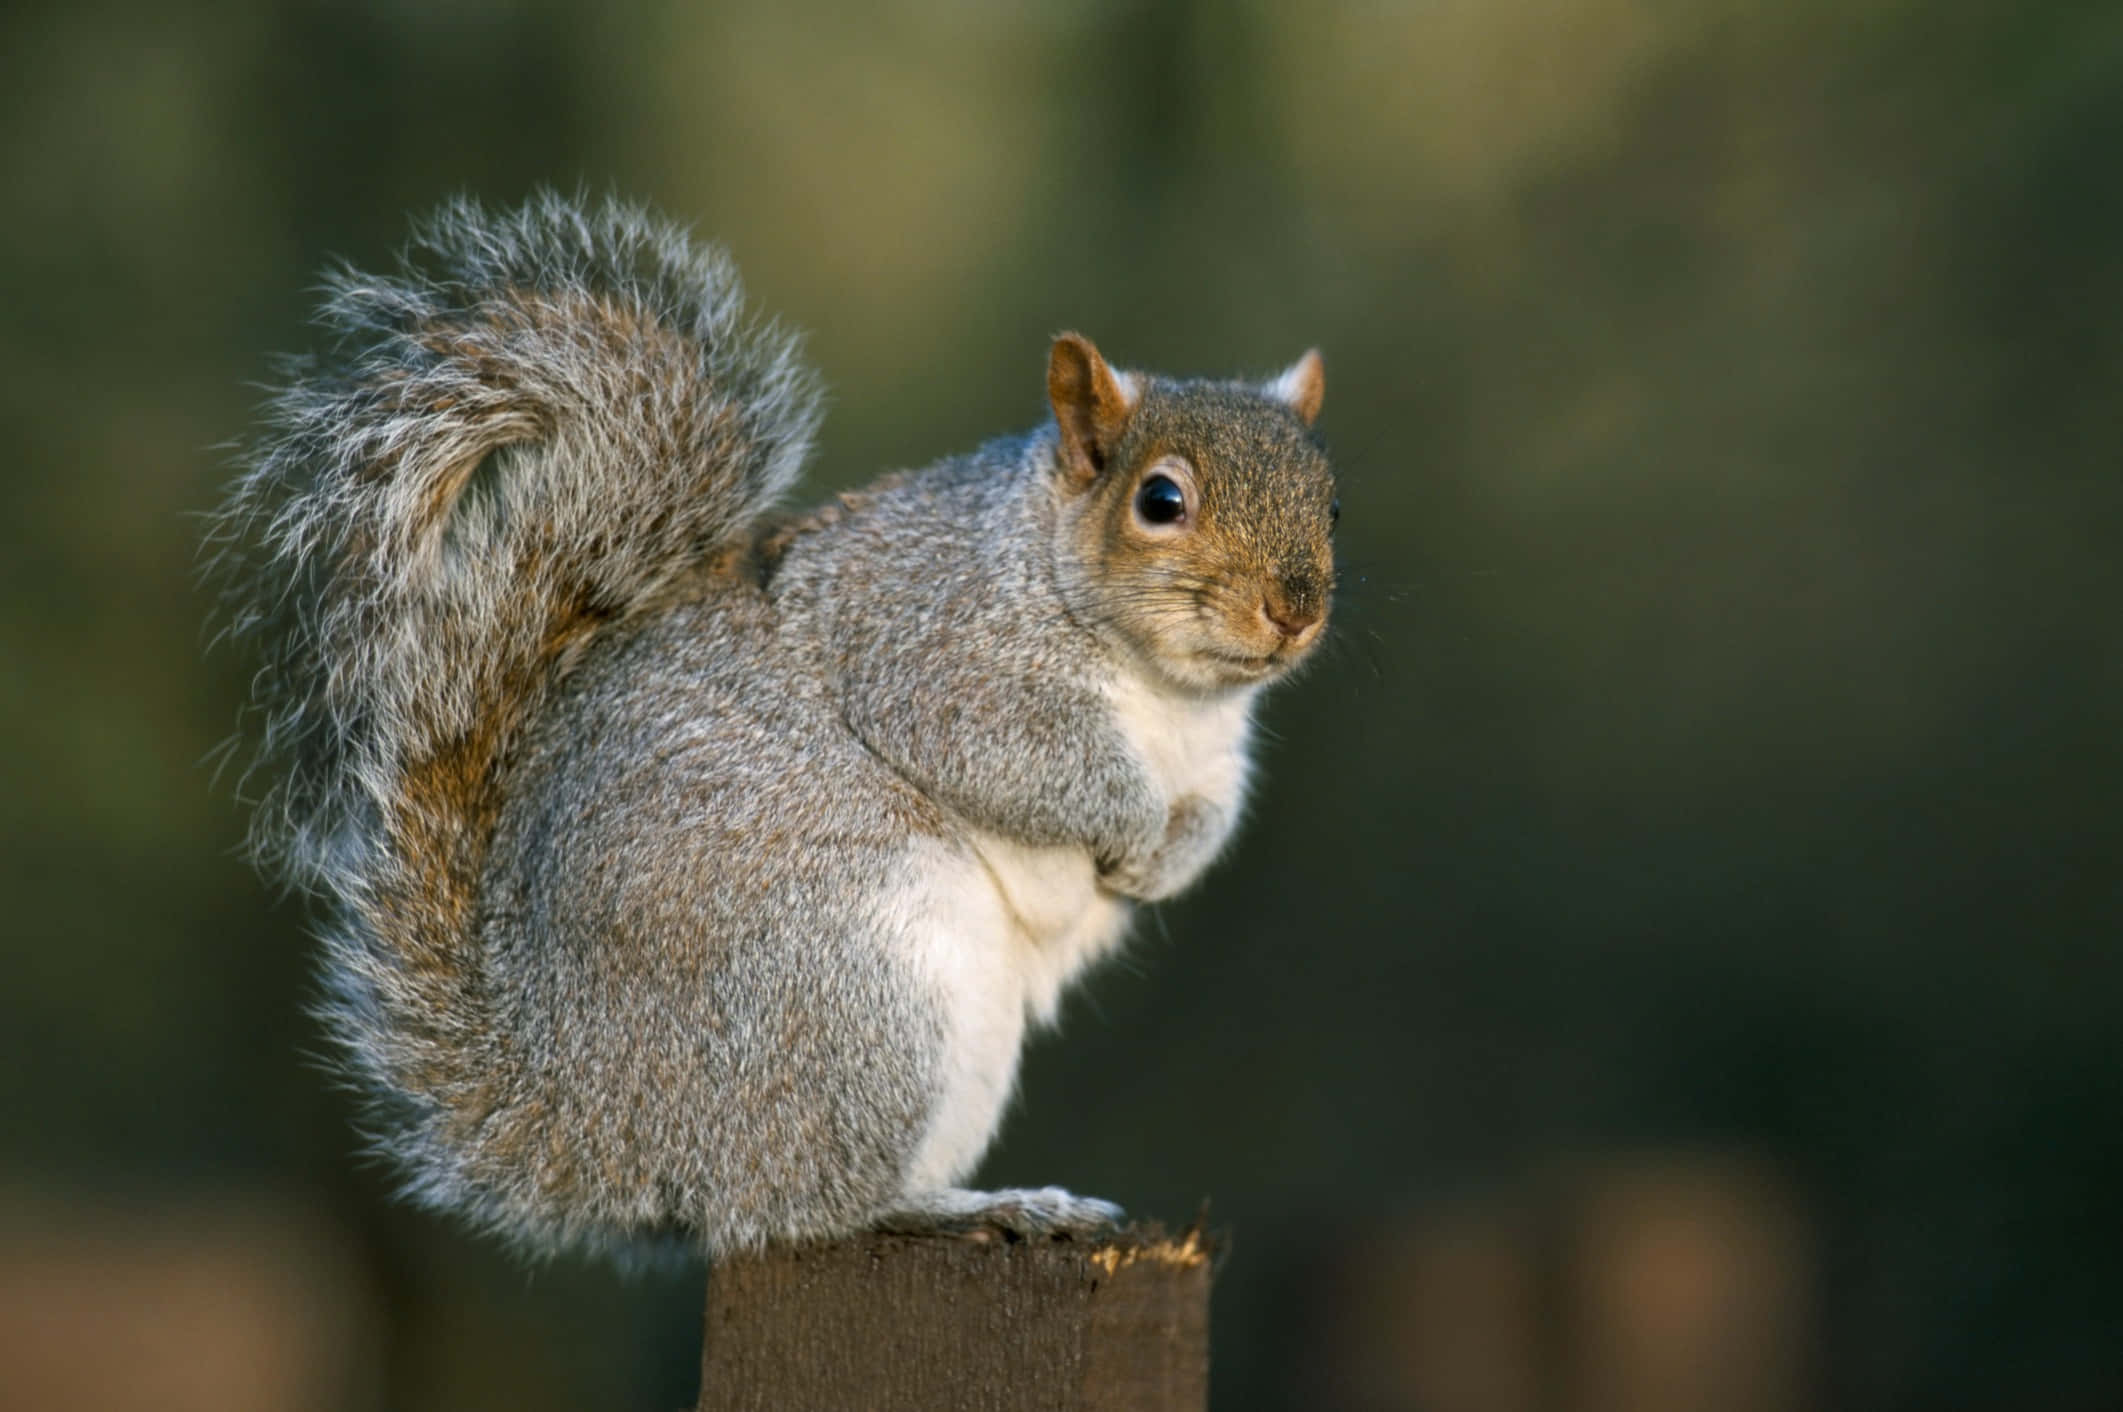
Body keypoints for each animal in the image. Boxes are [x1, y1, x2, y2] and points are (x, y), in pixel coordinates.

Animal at [213, 191, 1337, 1261]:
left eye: (1328, 497)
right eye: (1160, 499)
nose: (1294, 608)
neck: (1167, 693)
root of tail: (598, 1123)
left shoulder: (1217, 752)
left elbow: (1214, 815)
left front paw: (1165, 858)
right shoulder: (936, 653)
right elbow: (1021, 759)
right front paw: (1131, 828)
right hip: (855, 993)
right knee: (801, 1208)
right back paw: (984, 1205)